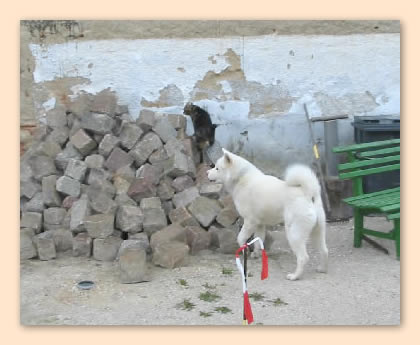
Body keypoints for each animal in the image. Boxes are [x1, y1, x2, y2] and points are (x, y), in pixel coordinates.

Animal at [207, 148, 328, 280]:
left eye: (217, 168)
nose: (207, 172)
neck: (241, 177)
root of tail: (308, 193)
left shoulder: (250, 221)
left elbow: (240, 238)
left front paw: (244, 252)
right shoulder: (260, 224)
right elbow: (258, 241)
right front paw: (256, 254)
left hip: (294, 234)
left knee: (303, 257)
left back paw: (294, 276)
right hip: (317, 232)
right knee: (324, 250)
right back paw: (322, 269)